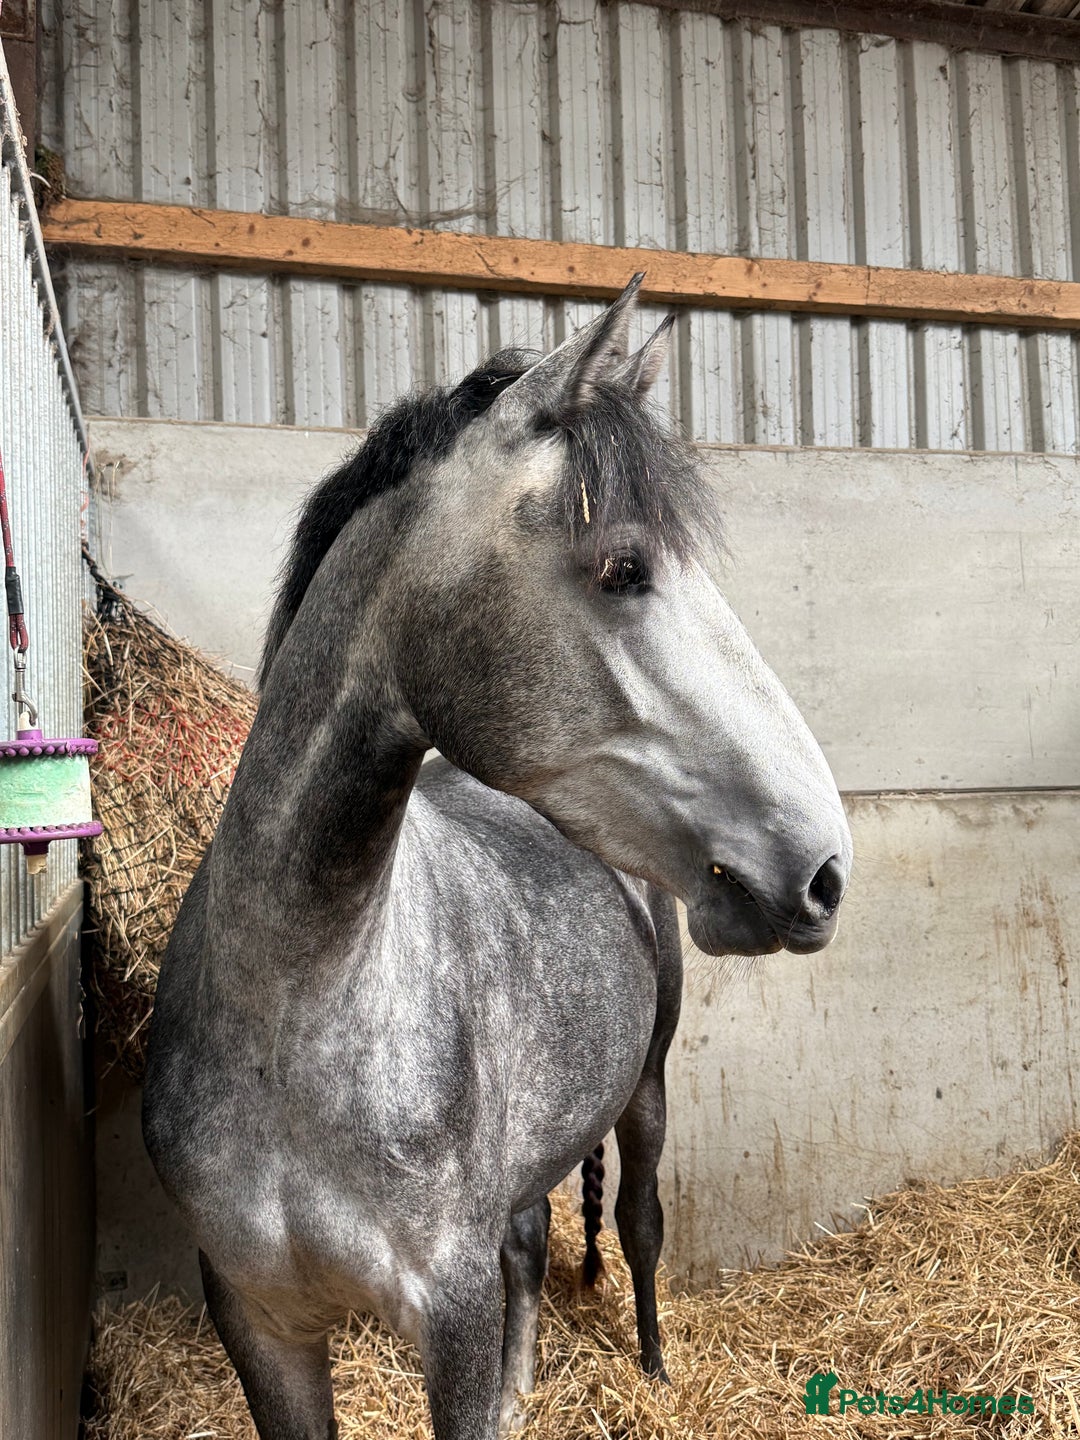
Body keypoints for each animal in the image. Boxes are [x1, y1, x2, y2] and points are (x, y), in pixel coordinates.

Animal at [143, 275, 852, 1440]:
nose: (825, 871)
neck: (299, 1014)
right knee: (531, 1235)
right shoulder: (258, 1319)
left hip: (647, 1091)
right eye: (624, 569)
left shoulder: (451, 1311)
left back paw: (655, 1367)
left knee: (640, 1223)